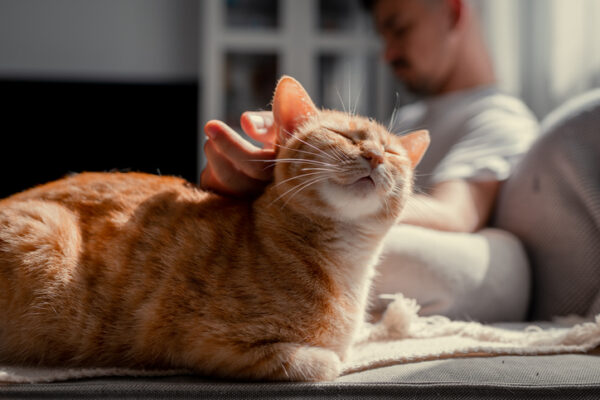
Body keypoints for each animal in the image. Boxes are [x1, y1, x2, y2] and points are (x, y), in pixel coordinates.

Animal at [2, 76, 428, 382]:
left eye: (391, 152)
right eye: (345, 136)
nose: (374, 156)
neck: (347, 263)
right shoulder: (211, 342)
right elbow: (325, 363)